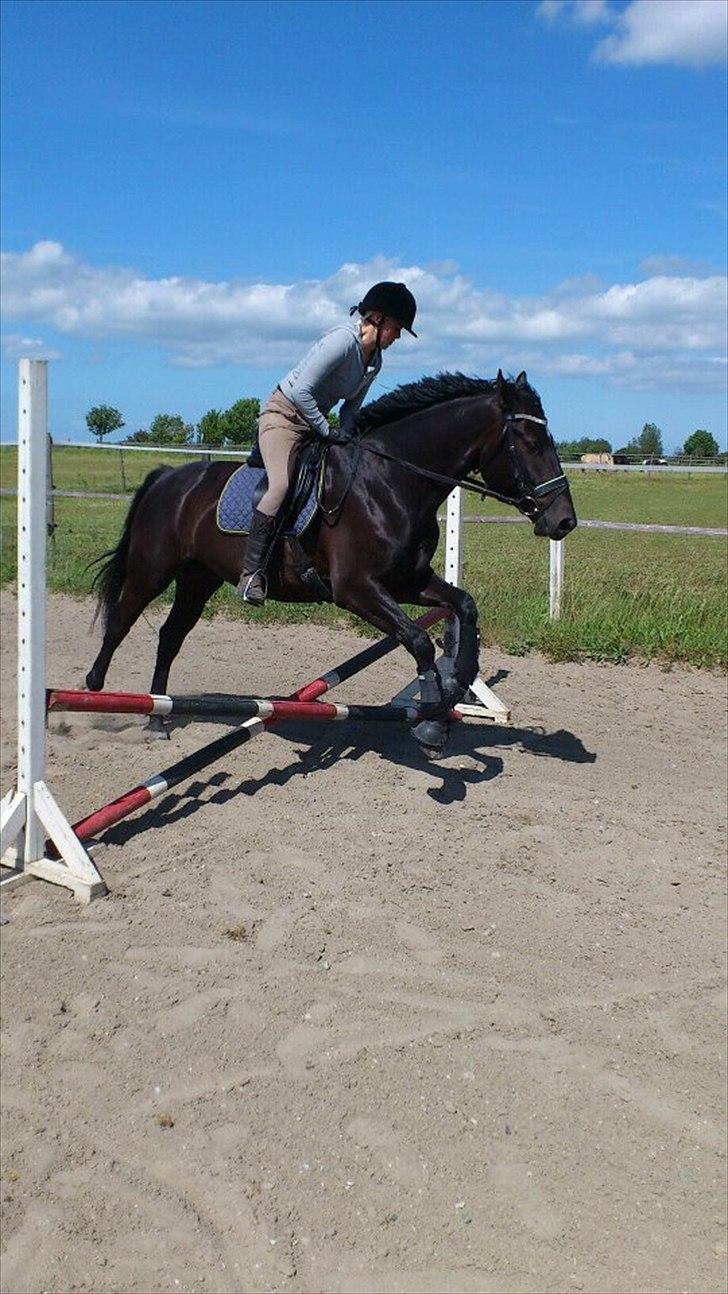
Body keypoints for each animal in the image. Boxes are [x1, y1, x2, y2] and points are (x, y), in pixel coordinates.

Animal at [85, 370, 579, 755]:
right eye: (531, 442)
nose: (564, 520)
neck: (392, 482)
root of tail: (169, 476)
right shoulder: (356, 589)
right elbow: (419, 640)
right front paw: (433, 722)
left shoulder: (408, 581)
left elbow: (464, 605)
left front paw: (459, 680)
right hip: (152, 570)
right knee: (121, 621)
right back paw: (92, 695)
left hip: (197, 578)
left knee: (170, 636)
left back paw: (156, 719)